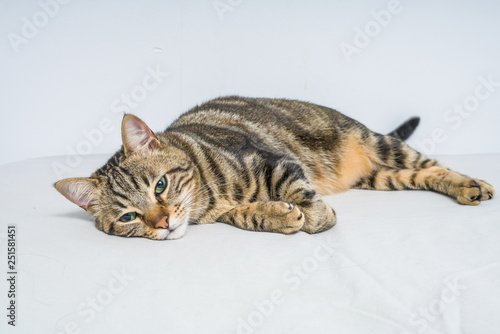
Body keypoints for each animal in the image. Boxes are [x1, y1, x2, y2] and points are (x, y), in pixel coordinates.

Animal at [55, 96, 496, 240]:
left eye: (160, 186)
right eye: (128, 216)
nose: (162, 223)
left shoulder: (273, 161)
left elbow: (299, 191)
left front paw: (317, 217)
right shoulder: (227, 210)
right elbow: (245, 215)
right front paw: (278, 216)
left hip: (380, 145)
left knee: (434, 167)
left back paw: (471, 184)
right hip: (383, 177)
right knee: (420, 176)